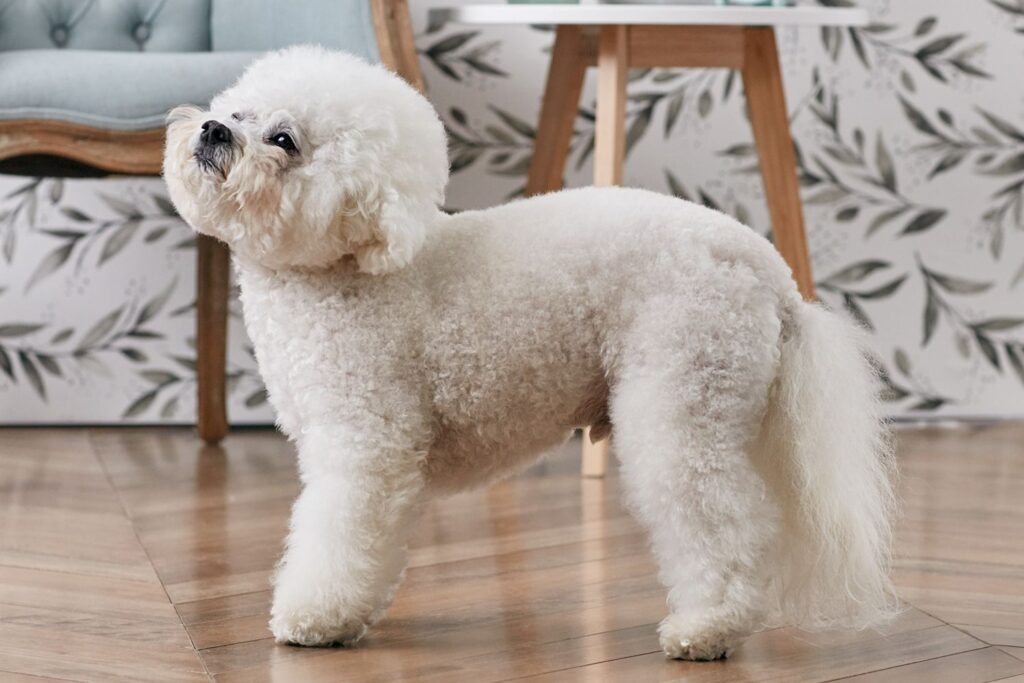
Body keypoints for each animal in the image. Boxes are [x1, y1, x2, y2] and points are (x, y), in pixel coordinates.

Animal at [161, 45, 897, 659]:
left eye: (284, 140)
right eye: (239, 111)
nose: (213, 130)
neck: (346, 269)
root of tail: (769, 273)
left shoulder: (365, 441)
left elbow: (339, 533)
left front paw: (316, 618)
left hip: (682, 394)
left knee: (717, 519)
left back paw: (705, 629)